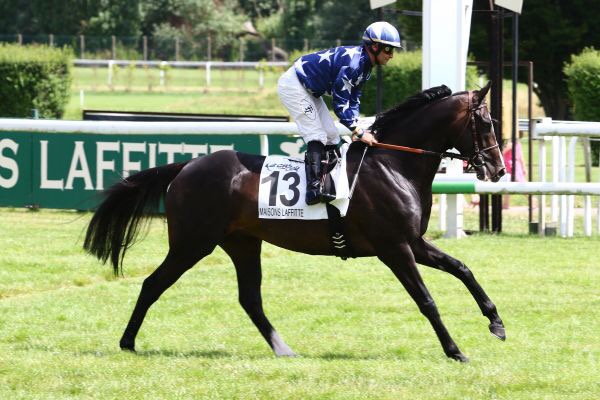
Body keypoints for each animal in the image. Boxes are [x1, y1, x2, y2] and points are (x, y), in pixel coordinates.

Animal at [84, 82, 506, 362]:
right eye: (486, 123)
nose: (499, 169)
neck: (393, 163)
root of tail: (186, 165)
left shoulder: (414, 242)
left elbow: (462, 268)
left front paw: (496, 322)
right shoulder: (394, 248)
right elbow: (427, 299)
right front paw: (455, 350)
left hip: (241, 243)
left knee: (250, 298)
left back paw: (283, 348)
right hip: (192, 242)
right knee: (153, 283)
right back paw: (127, 342)